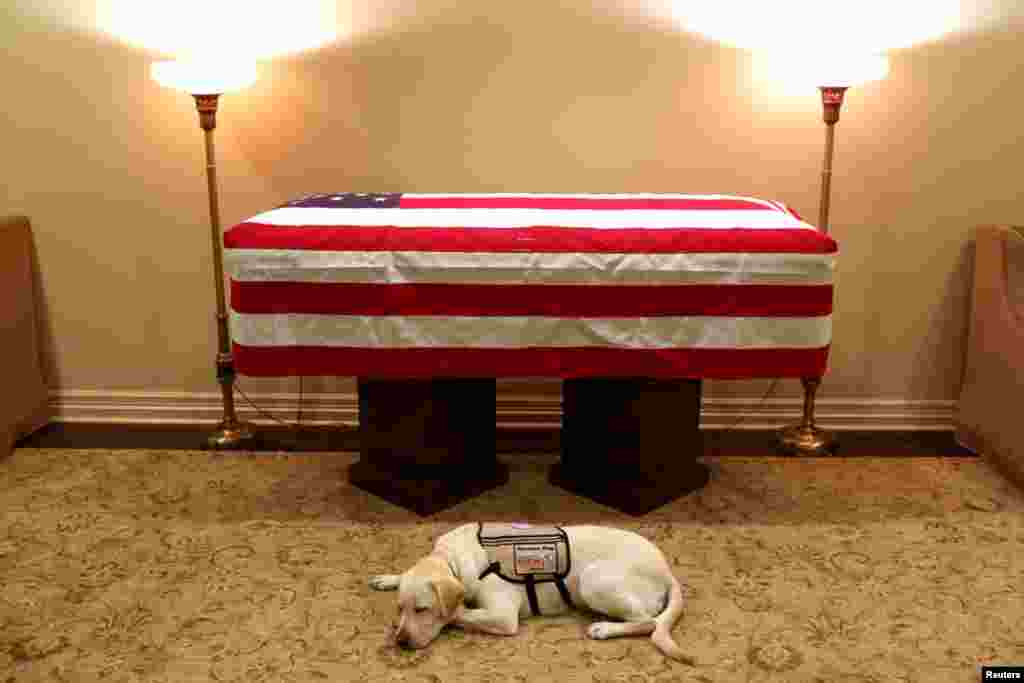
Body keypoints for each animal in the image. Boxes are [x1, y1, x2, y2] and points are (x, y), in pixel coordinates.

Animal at [368, 524, 696, 663]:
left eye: (422, 609)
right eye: (400, 608)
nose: (401, 642)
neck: (451, 559)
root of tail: (667, 571)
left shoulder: (502, 617)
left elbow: (459, 614)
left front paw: (452, 613)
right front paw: (388, 578)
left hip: (593, 580)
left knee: (648, 622)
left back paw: (604, 628)